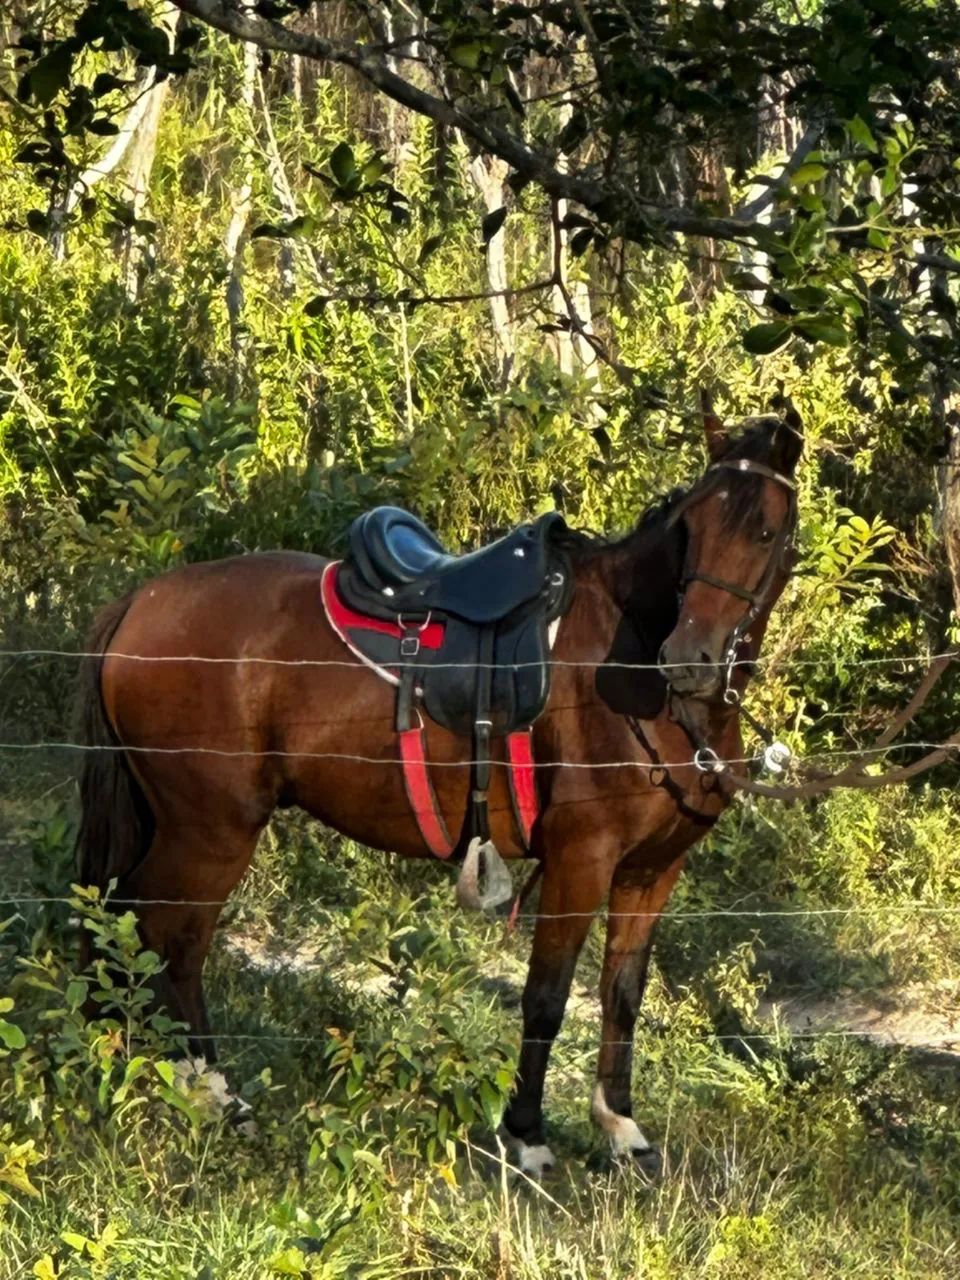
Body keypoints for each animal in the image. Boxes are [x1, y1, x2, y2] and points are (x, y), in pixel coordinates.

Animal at [75, 399, 802, 1176]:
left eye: (764, 530)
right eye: (691, 528)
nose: (689, 659)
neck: (634, 667)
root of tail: (142, 602)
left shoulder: (652, 870)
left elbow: (622, 994)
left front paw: (621, 1126)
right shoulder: (581, 859)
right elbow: (547, 997)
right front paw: (526, 1134)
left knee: (129, 925)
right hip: (212, 830)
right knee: (171, 937)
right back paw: (210, 1090)